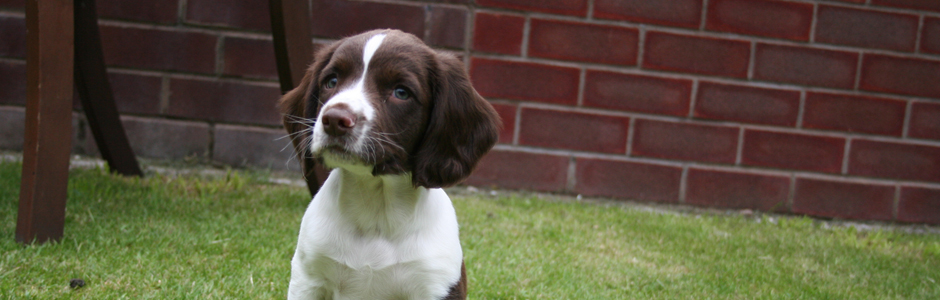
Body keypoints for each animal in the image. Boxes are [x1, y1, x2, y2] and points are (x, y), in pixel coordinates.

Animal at [278, 28, 500, 300]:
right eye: (331, 81)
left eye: (401, 92)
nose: (334, 120)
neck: (376, 209)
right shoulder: (308, 278)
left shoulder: (436, 283)